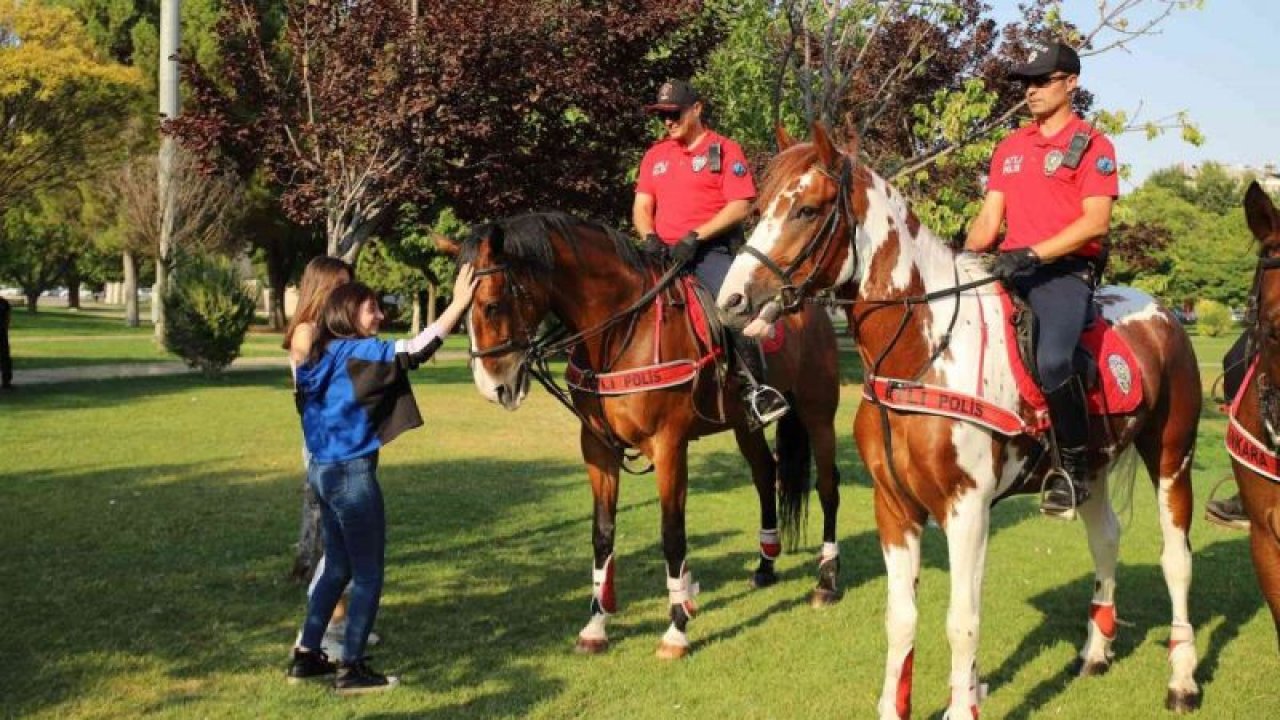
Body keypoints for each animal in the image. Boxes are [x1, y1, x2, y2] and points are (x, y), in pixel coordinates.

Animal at [435, 211, 844, 655]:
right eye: (460, 311)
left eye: (491, 306)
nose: (494, 388)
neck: (618, 332)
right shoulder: (597, 448)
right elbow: (602, 534)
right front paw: (596, 625)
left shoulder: (669, 446)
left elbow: (672, 534)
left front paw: (677, 628)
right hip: (743, 424)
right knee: (765, 474)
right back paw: (766, 564)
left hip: (818, 413)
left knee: (827, 485)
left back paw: (826, 580)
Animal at [721, 126, 1198, 712]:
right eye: (759, 207)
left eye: (807, 209)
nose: (731, 300)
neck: (921, 358)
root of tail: (1161, 312)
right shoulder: (894, 507)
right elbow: (902, 618)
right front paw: (896, 706)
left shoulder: (966, 508)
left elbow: (962, 621)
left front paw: (962, 705)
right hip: (1093, 465)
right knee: (1105, 537)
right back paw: (1095, 652)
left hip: (1172, 456)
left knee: (1176, 559)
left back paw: (1182, 680)